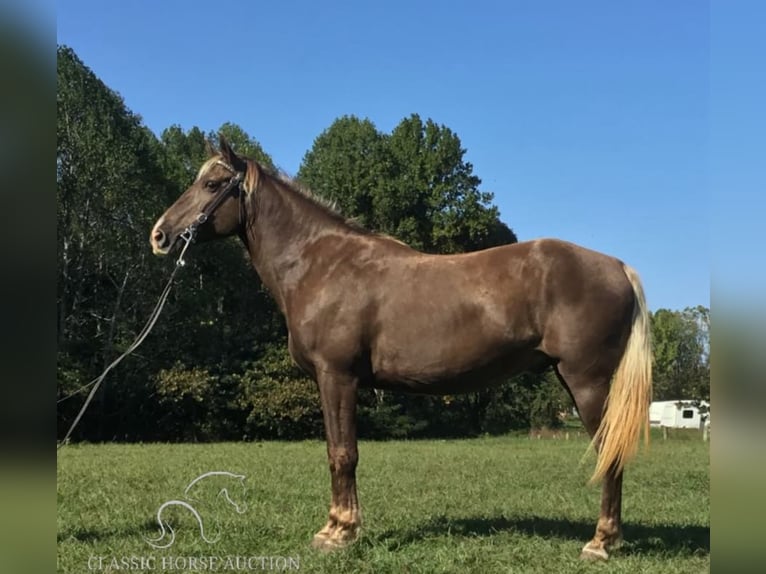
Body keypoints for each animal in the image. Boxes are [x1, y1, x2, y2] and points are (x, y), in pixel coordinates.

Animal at [152, 136, 656, 564]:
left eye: (212, 184)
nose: (160, 235)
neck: (322, 265)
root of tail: (617, 266)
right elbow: (339, 451)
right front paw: (340, 527)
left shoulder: (337, 377)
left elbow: (342, 453)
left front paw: (338, 531)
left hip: (587, 382)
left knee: (609, 455)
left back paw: (600, 543)